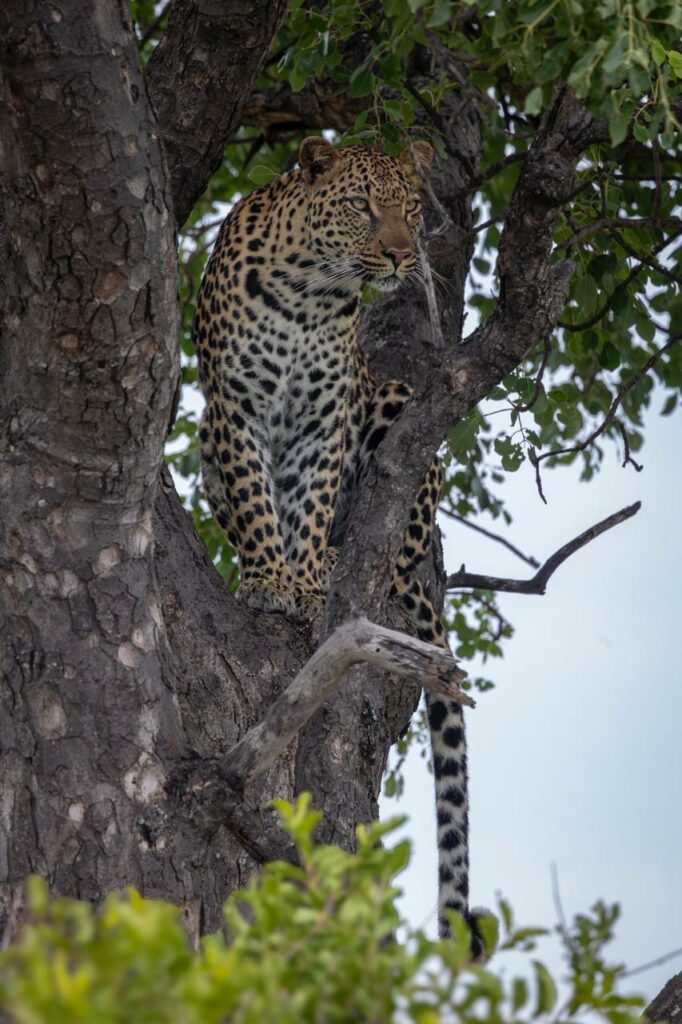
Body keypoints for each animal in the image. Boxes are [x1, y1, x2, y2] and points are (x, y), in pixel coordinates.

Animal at [193, 136, 484, 954]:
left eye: (410, 207)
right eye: (361, 205)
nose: (399, 254)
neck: (311, 295)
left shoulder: (327, 413)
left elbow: (314, 499)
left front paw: (306, 575)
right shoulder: (234, 408)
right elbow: (258, 500)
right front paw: (270, 578)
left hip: (390, 404)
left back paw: (337, 558)